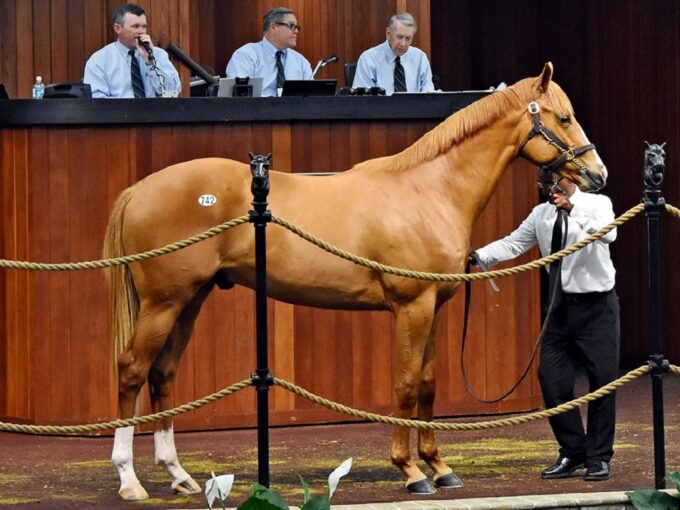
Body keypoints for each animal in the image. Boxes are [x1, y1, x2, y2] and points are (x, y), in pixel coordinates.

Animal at [105, 62, 604, 498]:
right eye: (564, 117)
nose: (597, 174)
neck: (428, 190)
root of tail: (140, 189)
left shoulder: (435, 307)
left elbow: (428, 385)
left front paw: (439, 467)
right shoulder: (412, 307)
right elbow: (405, 385)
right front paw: (410, 472)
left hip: (189, 300)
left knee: (162, 374)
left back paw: (179, 475)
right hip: (163, 304)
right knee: (132, 370)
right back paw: (129, 480)